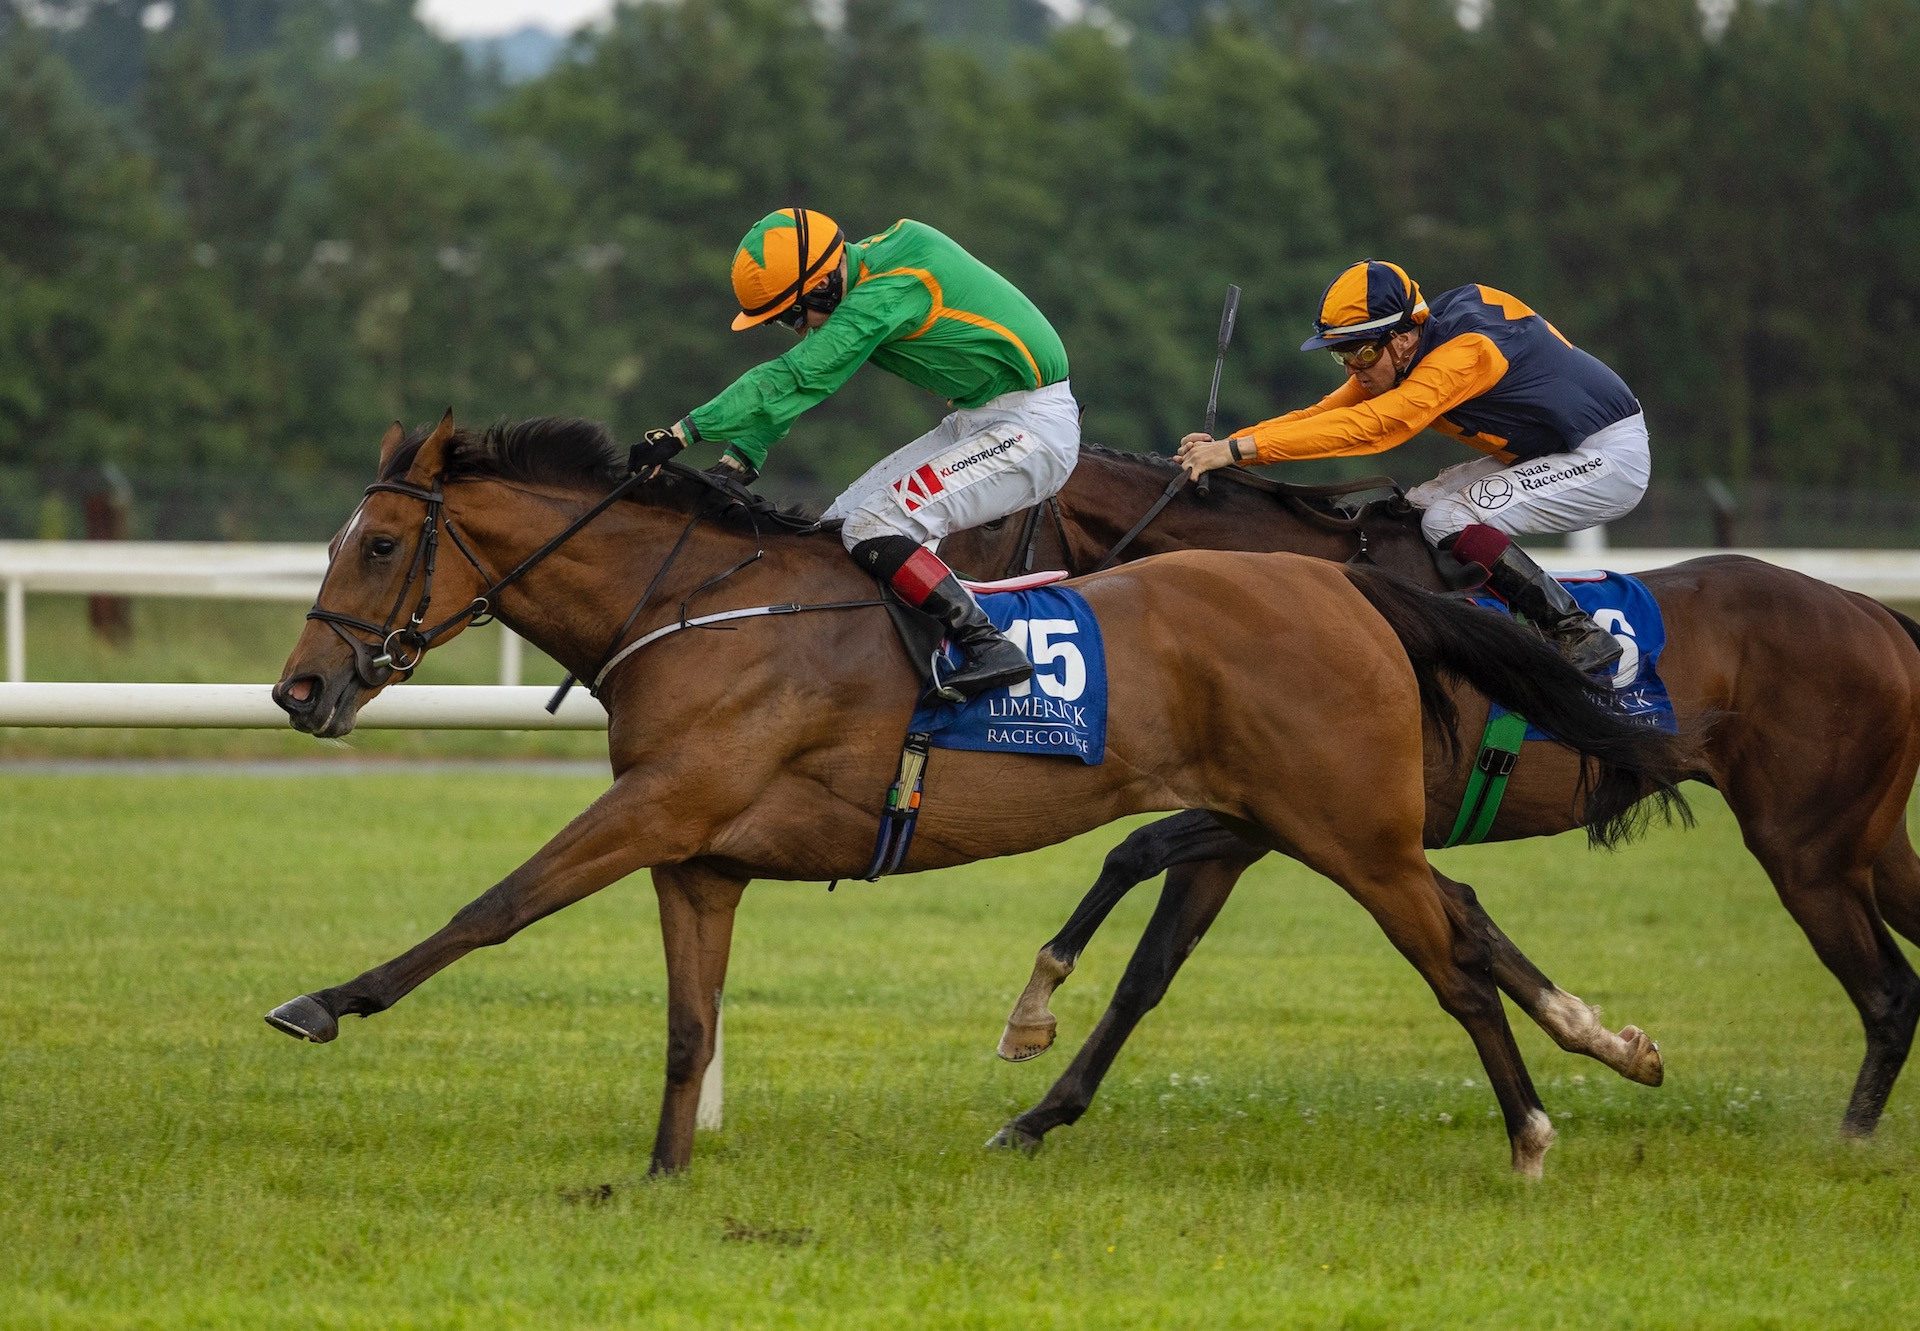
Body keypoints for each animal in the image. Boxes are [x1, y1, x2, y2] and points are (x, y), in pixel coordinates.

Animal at [263, 414, 1689, 1175]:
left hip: (1351, 829)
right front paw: (663, 1173)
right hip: (1289, 820)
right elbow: (687, 1022)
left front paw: (324, 999)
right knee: (1456, 917)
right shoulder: (700, 855)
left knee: (1450, 963)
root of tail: (1346, 587)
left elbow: (492, 907)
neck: (698, 606)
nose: (298, 690)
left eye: (377, 543)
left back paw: (1533, 1130)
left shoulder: (661, 806)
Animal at [936, 445, 1920, 1152]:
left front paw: (1036, 1015)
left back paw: (1847, 1144)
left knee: (1886, 991)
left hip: (1805, 848)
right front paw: (1038, 1113)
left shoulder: (1283, 817)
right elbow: (1150, 970)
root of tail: (1874, 613)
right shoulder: (1271, 812)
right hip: (1870, 843)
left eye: (986, 522)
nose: (963, 620)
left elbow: (1132, 854)